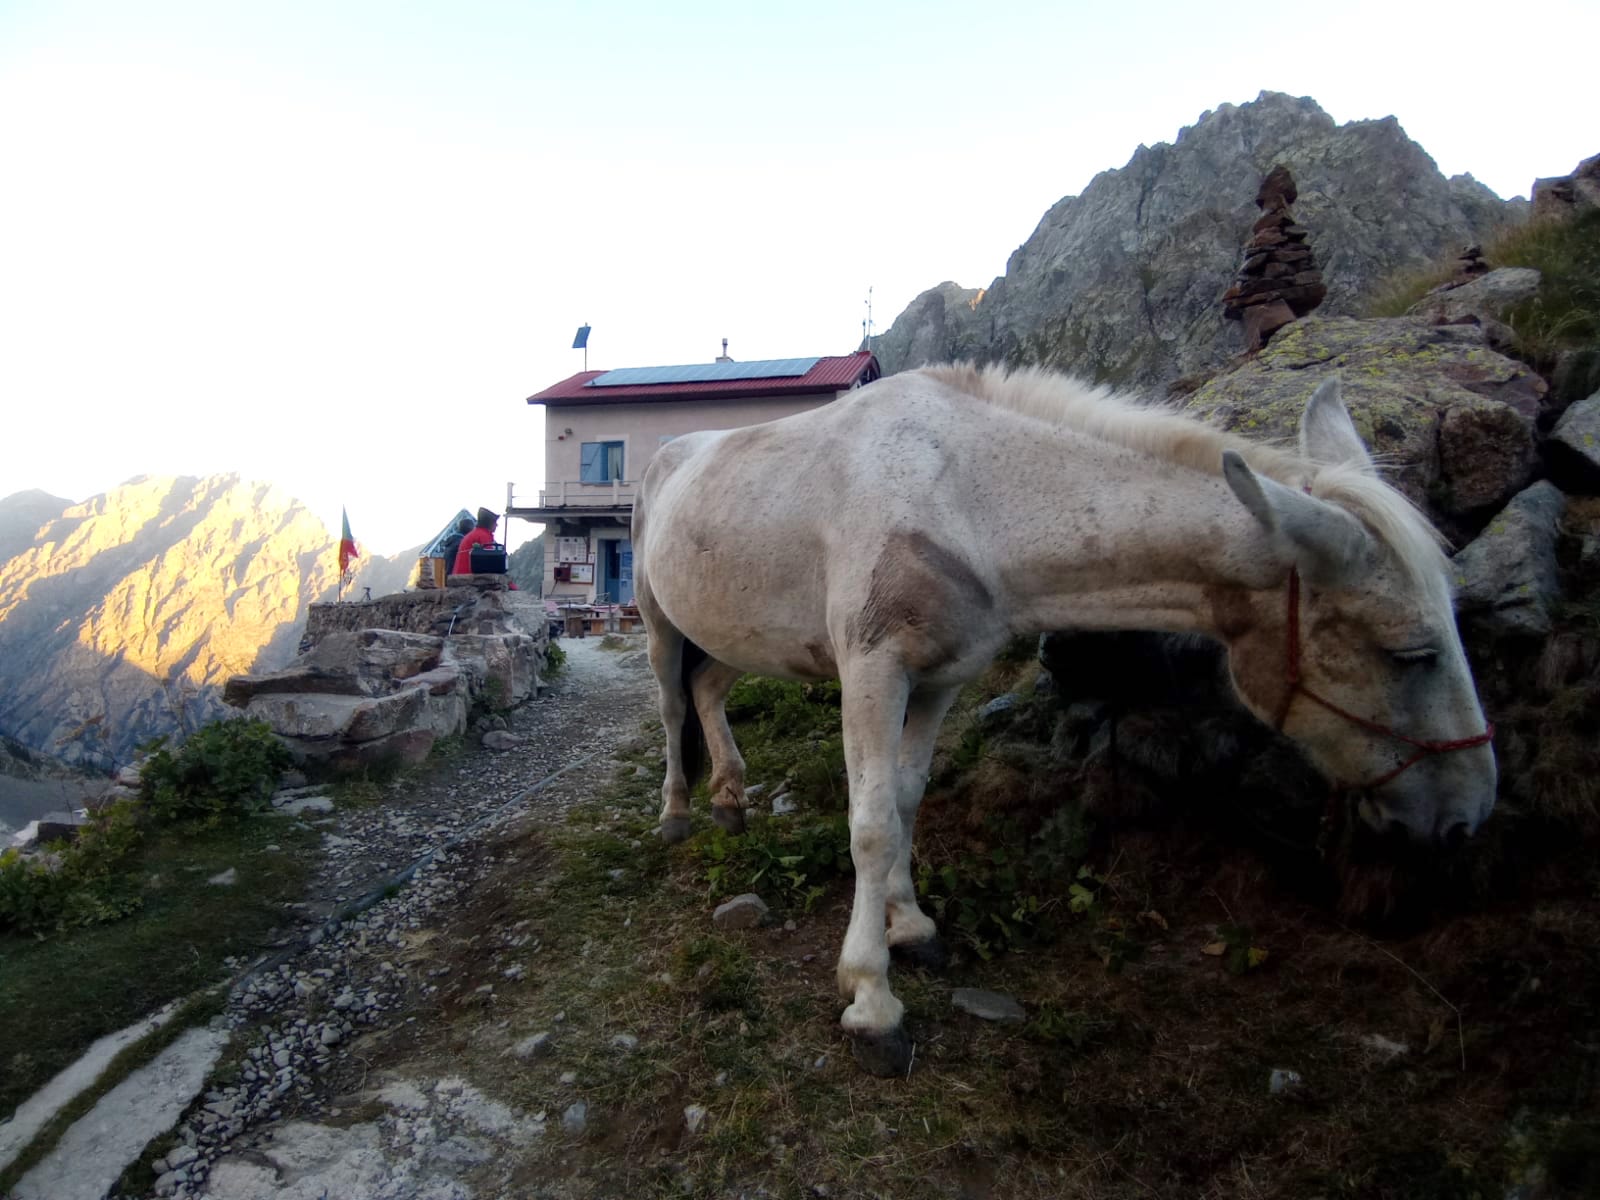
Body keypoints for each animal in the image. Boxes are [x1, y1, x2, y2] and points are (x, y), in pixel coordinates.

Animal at [630, 369, 1491, 1081]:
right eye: (1410, 653)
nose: (1468, 814)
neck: (964, 496)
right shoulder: (875, 671)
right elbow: (872, 825)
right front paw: (872, 1001)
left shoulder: (939, 679)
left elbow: (905, 801)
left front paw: (912, 928)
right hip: (657, 620)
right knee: (674, 705)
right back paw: (675, 814)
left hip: (733, 633)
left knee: (708, 691)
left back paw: (730, 799)